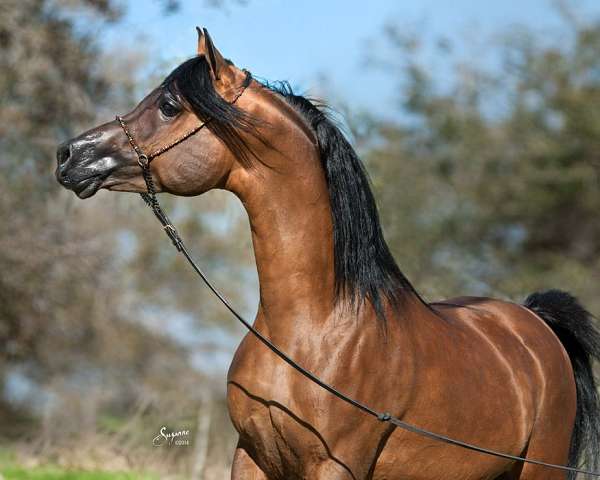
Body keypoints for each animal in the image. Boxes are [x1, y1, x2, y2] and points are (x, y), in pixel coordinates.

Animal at [57, 28, 600, 478]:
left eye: (169, 104)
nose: (70, 155)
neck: (314, 329)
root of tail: (533, 323)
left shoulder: (336, 465)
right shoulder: (251, 457)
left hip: (539, 471)